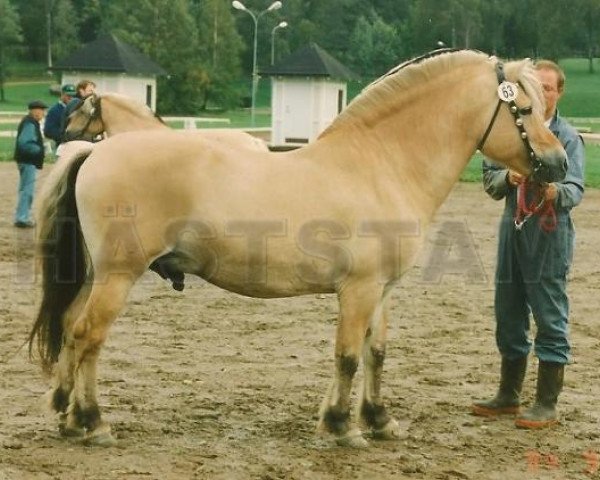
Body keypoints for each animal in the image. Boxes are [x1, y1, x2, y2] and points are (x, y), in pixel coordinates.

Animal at [29, 50, 568, 448]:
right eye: (523, 110)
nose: (560, 163)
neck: (381, 164)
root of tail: (95, 151)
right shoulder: (358, 290)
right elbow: (347, 356)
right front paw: (341, 428)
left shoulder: (382, 291)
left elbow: (375, 353)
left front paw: (377, 420)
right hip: (118, 276)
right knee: (88, 336)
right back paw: (92, 422)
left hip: (98, 275)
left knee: (72, 330)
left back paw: (67, 416)